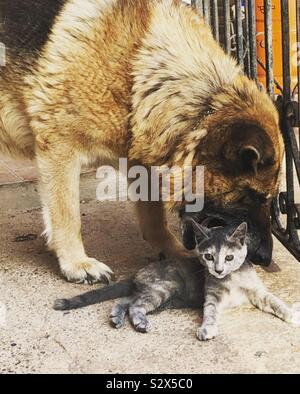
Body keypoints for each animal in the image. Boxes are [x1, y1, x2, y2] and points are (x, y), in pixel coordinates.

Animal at [0, 0, 284, 284]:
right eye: (250, 197)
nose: (265, 259)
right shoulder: (60, 148)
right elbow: (67, 215)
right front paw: (76, 263)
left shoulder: (141, 162)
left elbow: (154, 218)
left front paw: (173, 251)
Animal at [54, 223, 300, 340]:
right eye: (208, 256)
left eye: (229, 257)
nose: (218, 270)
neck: (232, 278)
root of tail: (138, 273)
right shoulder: (212, 297)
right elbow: (210, 313)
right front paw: (207, 329)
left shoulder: (259, 292)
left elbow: (276, 302)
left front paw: (291, 315)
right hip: (164, 290)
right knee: (134, 305)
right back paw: (139, 322)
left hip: (162, 296)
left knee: (124, 301)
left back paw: (117, 318)